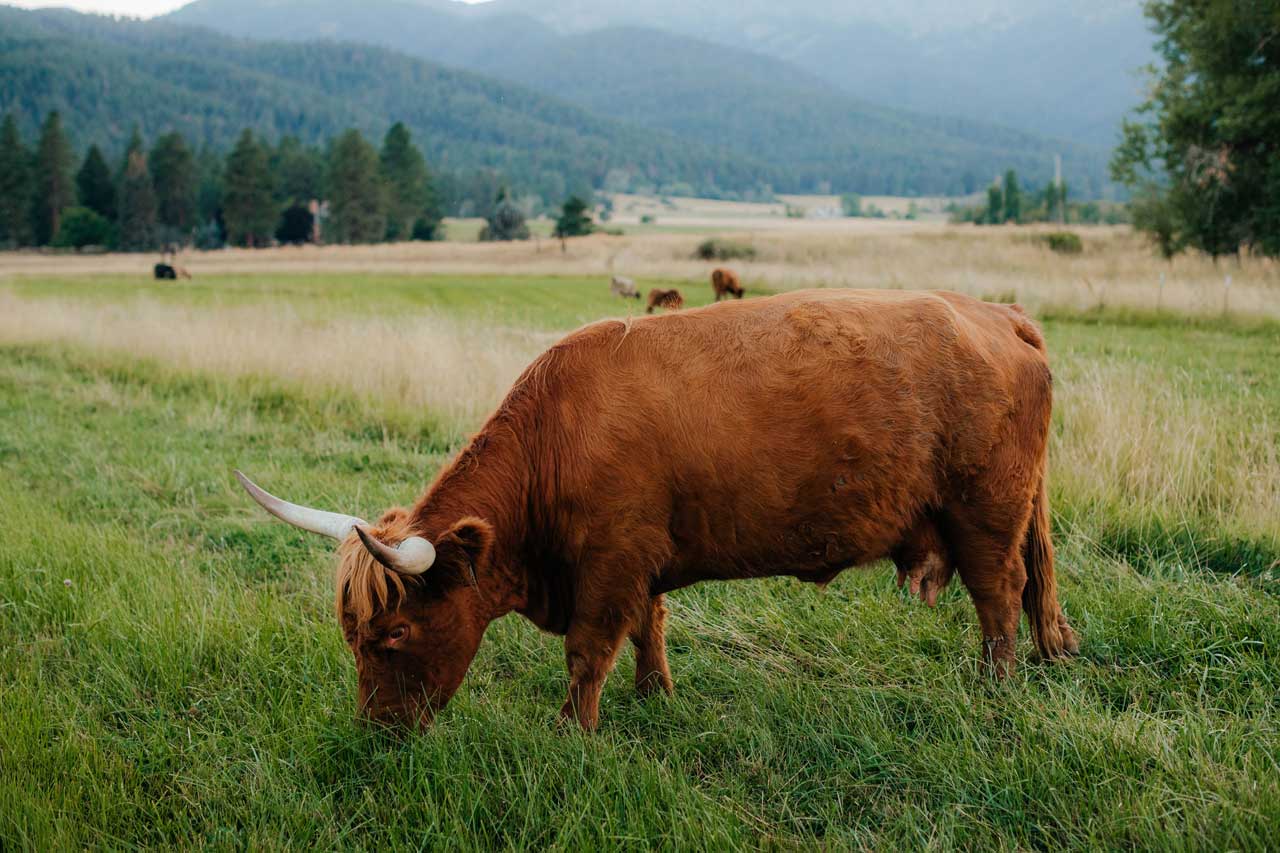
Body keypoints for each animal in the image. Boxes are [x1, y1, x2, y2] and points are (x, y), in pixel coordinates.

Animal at [235, 289, 1075, 727]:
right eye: (352, 632)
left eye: (397, 631)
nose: (378, 731)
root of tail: (996, 310)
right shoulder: (641, 558)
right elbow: (649, 626)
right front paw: (655, 693)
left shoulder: (610, 563)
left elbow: (588, 651)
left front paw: (573, 731)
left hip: (986, 512)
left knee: (1000, 598)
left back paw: (996, 687)